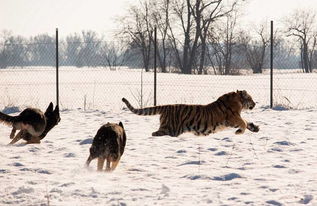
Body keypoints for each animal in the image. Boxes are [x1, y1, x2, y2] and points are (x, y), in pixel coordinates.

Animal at [122, 90, 258, 137]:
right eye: (250, 98)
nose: (255, 104)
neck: (239, 102)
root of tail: (166, 107)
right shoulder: (232, 118)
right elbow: (243, 122)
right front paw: (239, 132)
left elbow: (246, 121)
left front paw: (255, 128)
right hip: (169, 129)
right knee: (154, 133)